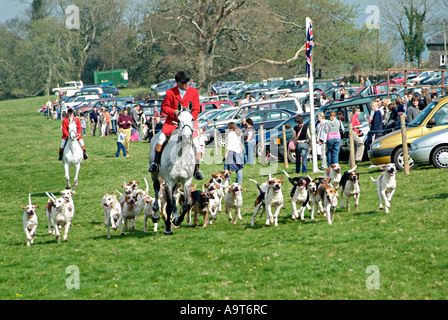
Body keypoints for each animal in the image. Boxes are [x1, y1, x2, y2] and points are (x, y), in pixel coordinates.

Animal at [148, 102, 195, 235]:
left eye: (192, 119)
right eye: (178, 120)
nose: (186, 136)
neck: (181, 155)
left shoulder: (187, 181)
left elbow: (187, 204)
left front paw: (177, 220)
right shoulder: (169, 181)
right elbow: (168, 206)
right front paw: (168, 228)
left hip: (177, 182)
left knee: (174, 196)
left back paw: (175, 216)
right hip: (155, 175)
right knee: (157, 188)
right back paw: (156, 214)